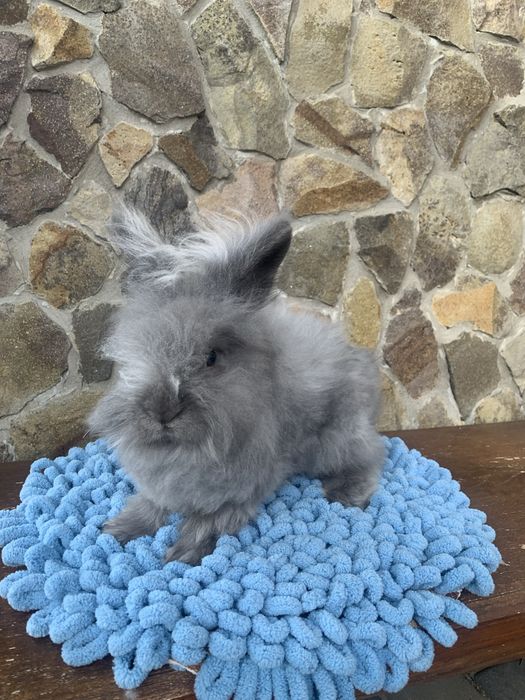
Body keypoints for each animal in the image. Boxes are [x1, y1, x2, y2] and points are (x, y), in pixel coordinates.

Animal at [88, 209, 385, 565]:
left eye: (211, 357)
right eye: (134, 350)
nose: (162, 412)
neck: (183, 452)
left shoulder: (237, 492)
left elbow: (210, 521)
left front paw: (182, 553)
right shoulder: (160, 487)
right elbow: (150, 506)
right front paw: (117, 529)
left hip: (338, 440)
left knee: (373, 457)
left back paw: (347, 494)